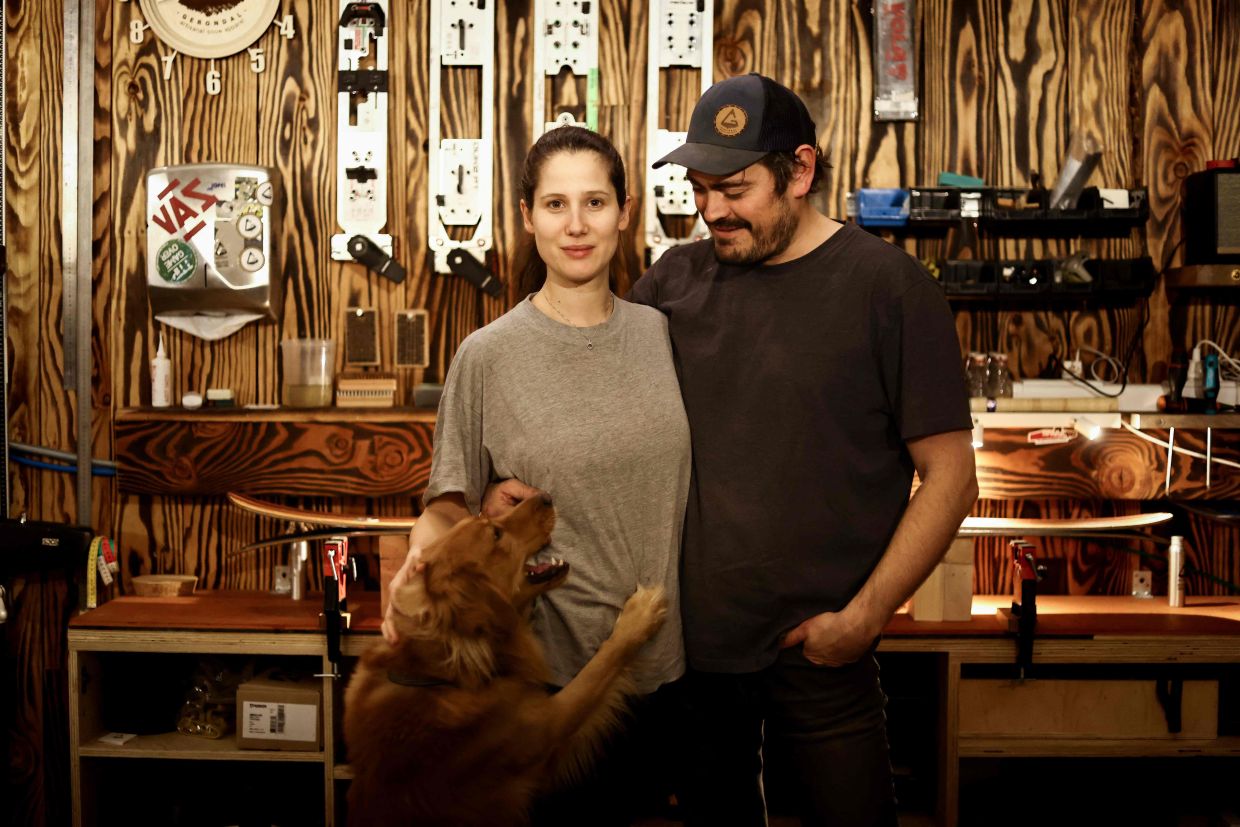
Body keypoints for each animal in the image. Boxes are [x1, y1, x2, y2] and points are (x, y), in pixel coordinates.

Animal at [339, 495, 669, 823]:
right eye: (496, 534)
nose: (546, 497)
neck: (439, 671)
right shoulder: (549, 727)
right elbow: (601, 664)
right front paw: (640, 614)